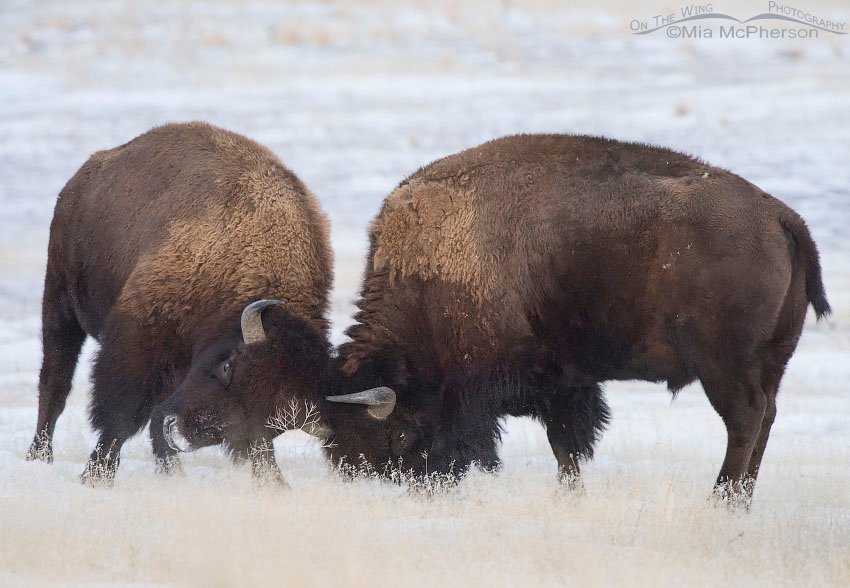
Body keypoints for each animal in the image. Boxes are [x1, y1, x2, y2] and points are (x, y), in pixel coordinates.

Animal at [26, 121, 333, 485]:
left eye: (273, 420)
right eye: (227, 366)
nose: (181, 433)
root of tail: (88, 172)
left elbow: (256, 447)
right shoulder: (139, 340)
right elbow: (121, 416)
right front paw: (96, 477)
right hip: (60, 303)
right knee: (55, 381)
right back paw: (39, 457)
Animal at [162, 134, 829, 504]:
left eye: (395, 436)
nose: (390, 477)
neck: (429, 281)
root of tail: (782, 216)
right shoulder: (566, 384)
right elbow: (568, 445)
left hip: (725, 367)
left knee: (744, 422)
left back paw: (721, 500)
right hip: (770, 361)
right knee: (765, 419)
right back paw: (739, 501)